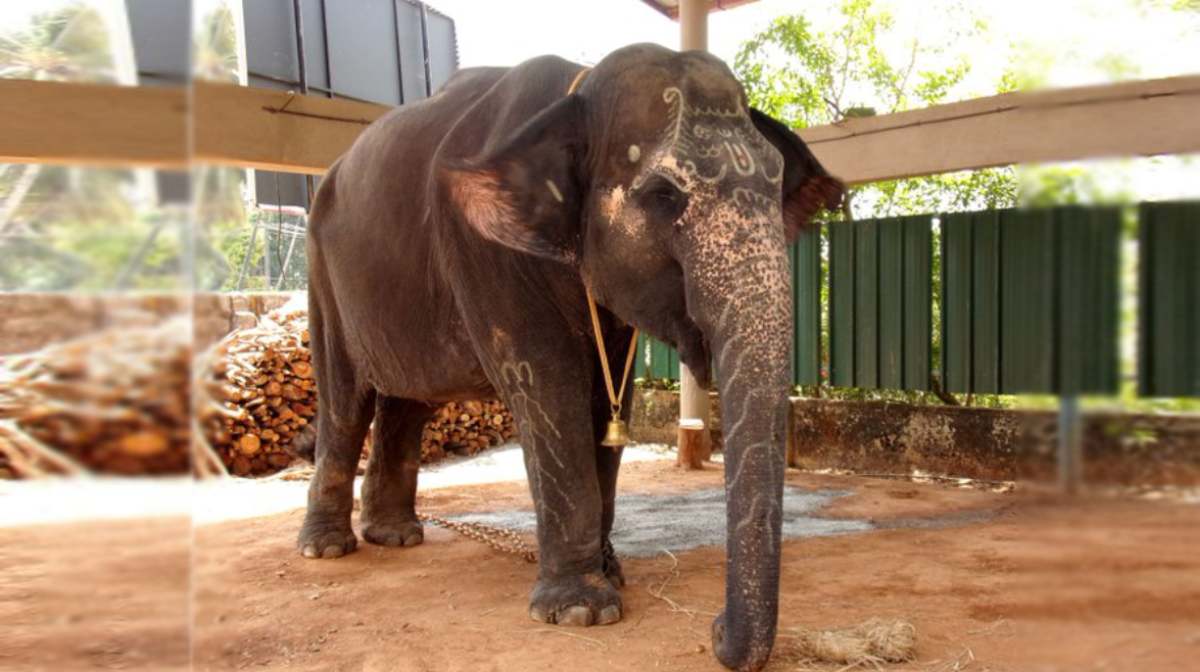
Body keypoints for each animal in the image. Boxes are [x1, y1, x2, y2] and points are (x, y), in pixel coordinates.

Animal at [296, 43, 843, 671]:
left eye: (776, 187)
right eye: (664, 196)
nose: (714, 630)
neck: (576, 94)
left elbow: (604, 402)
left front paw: (610, 572)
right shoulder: (482, 248)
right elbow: (547, 385)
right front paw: (582, 610)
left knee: (408, 402)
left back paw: (396, 535)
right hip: (322, 274)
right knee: (345, 400)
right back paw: (327, 548)